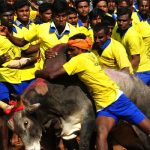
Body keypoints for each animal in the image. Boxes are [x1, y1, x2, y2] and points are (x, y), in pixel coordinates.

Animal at [7, 44, 150, 150]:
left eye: (26, 122)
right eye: (12, 127)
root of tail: (144, 86)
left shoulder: (88, 121)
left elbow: (84, 146)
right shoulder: (67, 131)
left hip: (139, 127)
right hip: (122, 133)